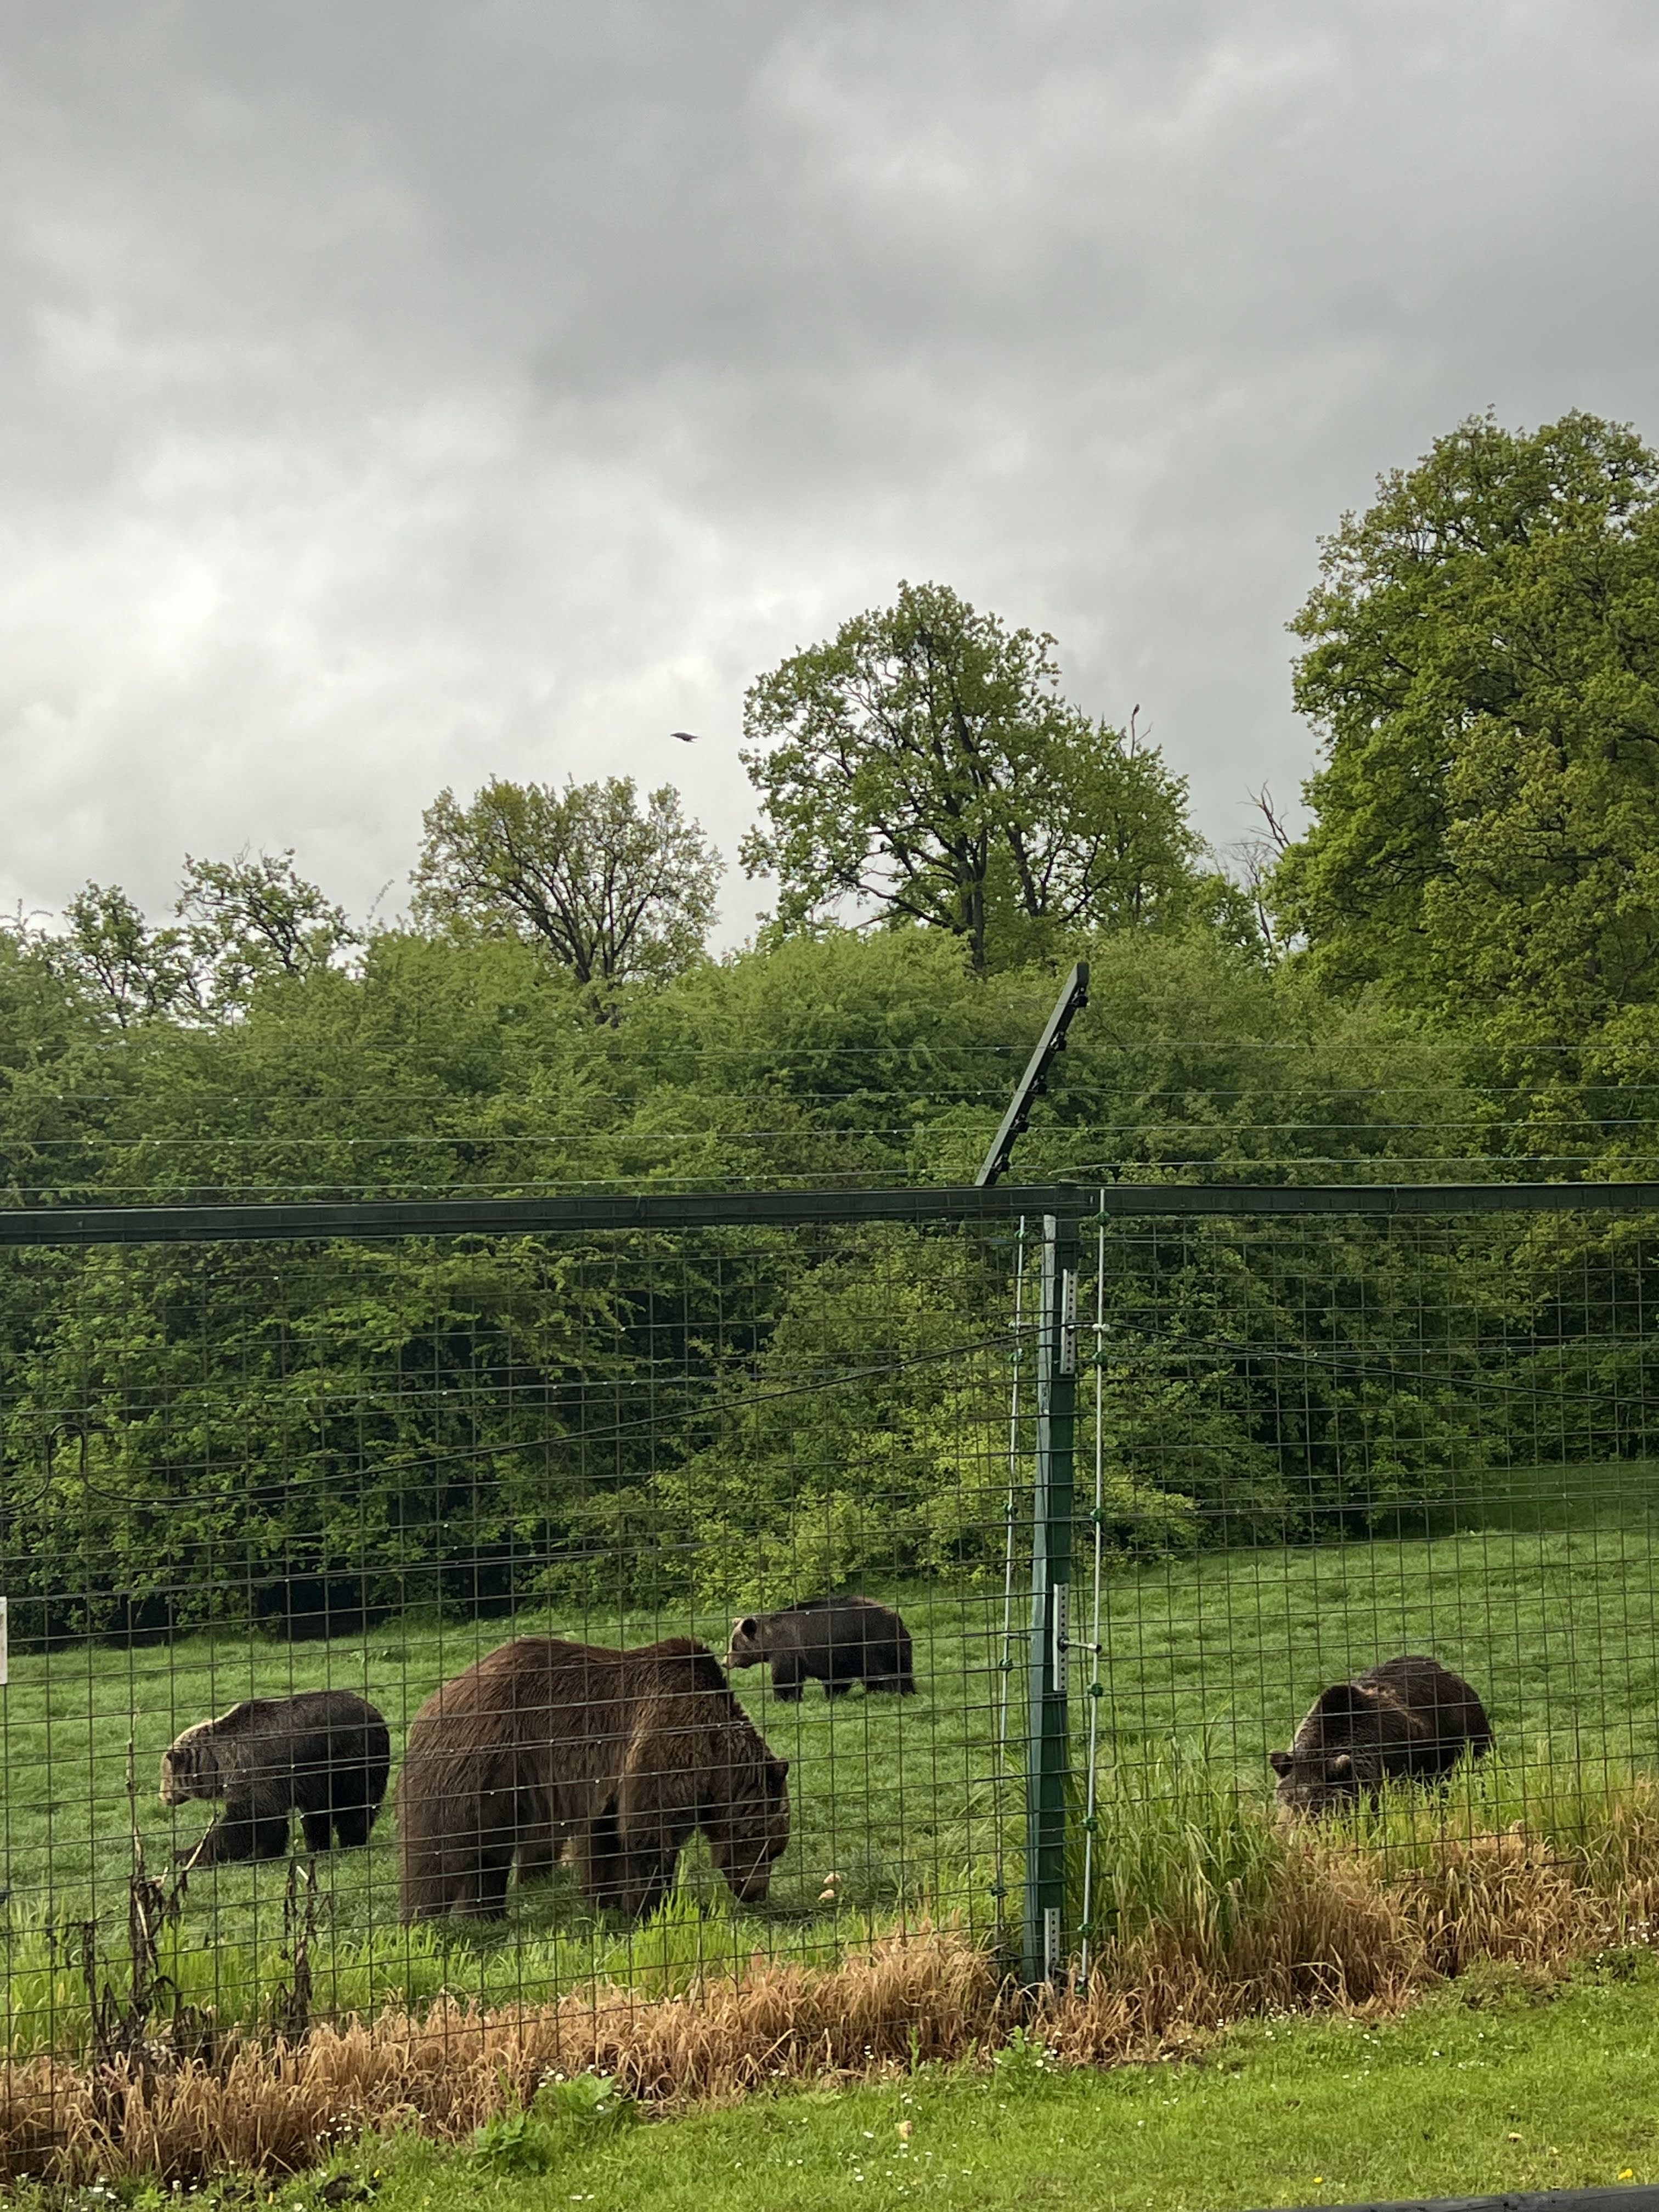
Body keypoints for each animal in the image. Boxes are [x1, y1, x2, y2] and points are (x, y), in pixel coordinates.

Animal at [160, 1688, 391, 1864]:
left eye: (166, 1776)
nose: (164, 1797)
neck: (216, 1764)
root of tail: (377, 1715)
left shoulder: (252, 1770)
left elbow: (250, 1818)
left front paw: (187, 1854)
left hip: (352, 1760)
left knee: (355, 1807)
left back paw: (351, 1843)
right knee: (319, 1815)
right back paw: (319, 1847)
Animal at [396, 1634, 790, 1924]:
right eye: (772, 1848)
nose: (757, 1894)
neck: (716, 1754)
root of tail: (435, 1700)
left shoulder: (610, 1781)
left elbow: (605, 1838)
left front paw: (606, 1901)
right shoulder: (668, 1740)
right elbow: (647, 1832)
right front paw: (652, 1905)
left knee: (490, 1849)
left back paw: (486, 1914)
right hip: (480, 1762)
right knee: (442, 1844)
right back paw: (422, 1918)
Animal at [724, 1596, 915, 1701]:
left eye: (734, 1644)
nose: (725, 1662)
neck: (770, 1639)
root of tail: (896, 1619)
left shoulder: (788, 1651)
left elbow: (785, 1677)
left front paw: (783, 1698)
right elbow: (836, 1680)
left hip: (875, 1643)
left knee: (887, 1673)